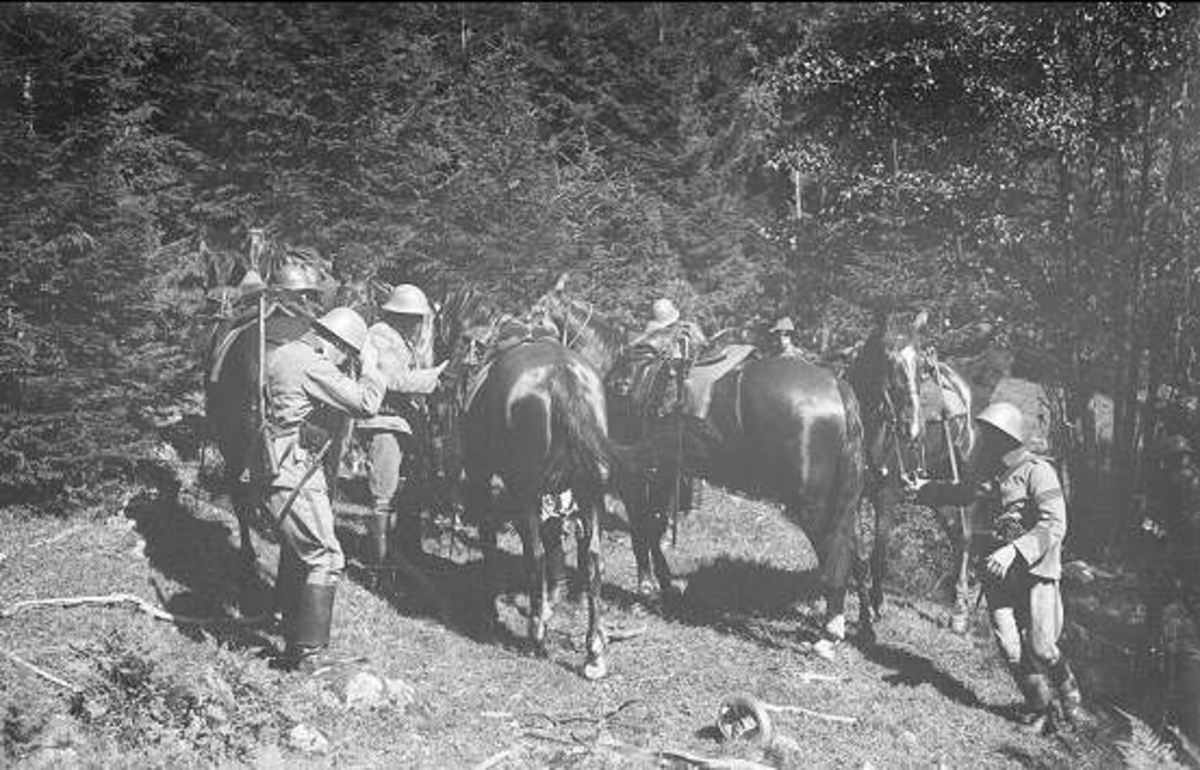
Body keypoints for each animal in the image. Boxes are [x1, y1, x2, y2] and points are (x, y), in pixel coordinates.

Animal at [531, 279, 869, 654]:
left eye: (535, 311)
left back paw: (830, 632)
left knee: (836, 552)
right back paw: (861, 624)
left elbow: (643, 529)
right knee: (855, 549)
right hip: (842, 498)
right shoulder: (661, 473)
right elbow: (654, 527)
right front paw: (663, 585)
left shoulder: (634, 476)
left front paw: (649, 587)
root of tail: (836, 386)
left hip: (812, 504)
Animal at [845, 310, 980, 633]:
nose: (913, 429)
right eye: (886, 359)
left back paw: (960, 613)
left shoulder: (887, 496)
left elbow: (879, 555)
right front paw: (864, 616)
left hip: (964, 483)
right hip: (937, 491)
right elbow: (859, 557)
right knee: (955, 534)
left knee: (965, 538)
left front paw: (877, 608)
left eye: (921, 366)